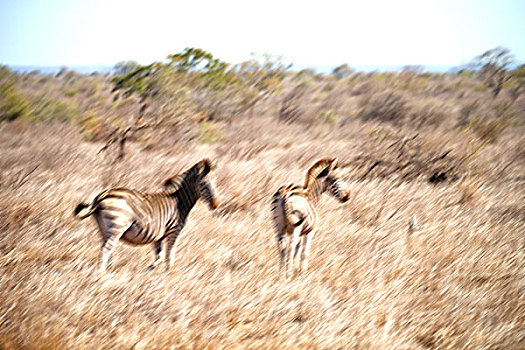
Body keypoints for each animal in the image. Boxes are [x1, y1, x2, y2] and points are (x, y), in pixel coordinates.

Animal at [73, 159, 217, 274]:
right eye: (204, 184)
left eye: (215, 184)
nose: (215, 204)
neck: (179, 202)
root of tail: (102, 196)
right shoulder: (174, 231)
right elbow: (169, 254)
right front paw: (169, 272)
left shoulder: (158, 235)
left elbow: (160, 255)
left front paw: (150, 270)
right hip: (117, 226)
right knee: (106, 249)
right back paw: (101, 274)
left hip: (103, 228)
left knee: (108, 248)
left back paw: (109, 269)